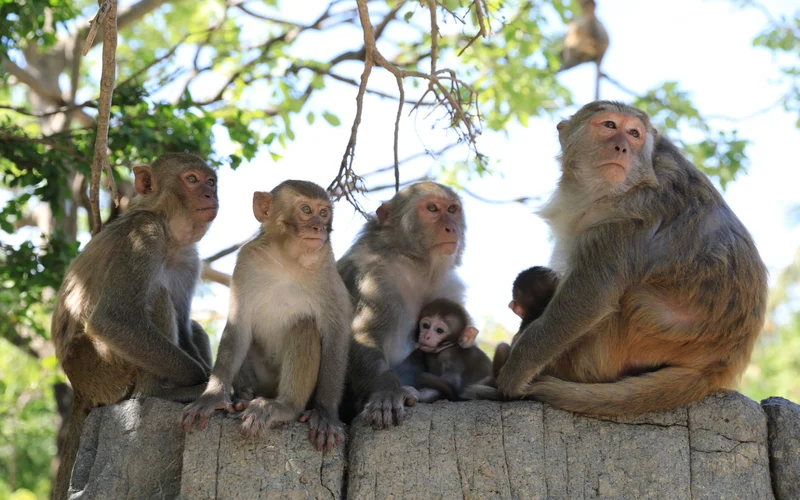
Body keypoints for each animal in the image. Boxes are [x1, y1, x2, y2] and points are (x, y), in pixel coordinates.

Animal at [50, 152, 218, 500]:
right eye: (191, 179)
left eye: (211, 181)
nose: (211, 194)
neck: (168, 235)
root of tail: (79, 389)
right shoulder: (142, 237)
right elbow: (113, 318)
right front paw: (204, 381)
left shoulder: (189, 259)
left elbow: (186, 326)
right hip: (105, 368)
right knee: (155, 297)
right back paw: (160, 393)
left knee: (188, 322)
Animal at [180, 180, 351, 452]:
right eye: (306, 209)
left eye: (324, 212)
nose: (319, 227)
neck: (287, 261)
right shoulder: (247, 261)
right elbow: (238, 326)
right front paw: (213, 397)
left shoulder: (327, 272)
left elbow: (335, 336)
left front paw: (325, 413)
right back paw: (243, 397)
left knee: (304, 324)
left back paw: (284, 406)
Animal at [337, 181, 469, 428]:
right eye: (432, 208)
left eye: (452, 209)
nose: (451, 228)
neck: (417, 266)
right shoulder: (377, 279)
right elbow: (364, 335)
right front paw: (386, 392)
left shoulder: (448, 287)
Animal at [488, 100, 768, 417]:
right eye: (609, 125)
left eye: (633, 133)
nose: (622, 147)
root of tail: (720, 365)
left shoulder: (633, 215)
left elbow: (590, 297)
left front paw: (516, 370)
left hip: (614, 349)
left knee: (631, 302)